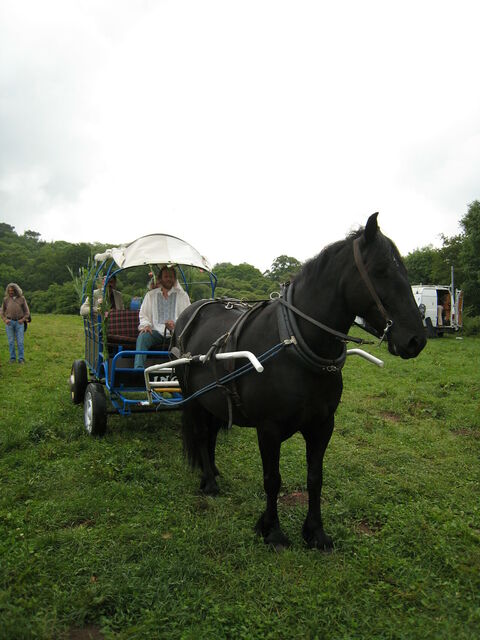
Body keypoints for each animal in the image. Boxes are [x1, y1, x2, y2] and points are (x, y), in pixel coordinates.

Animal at [173, 213, 426, 550]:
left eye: (405, 271)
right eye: (381, 270)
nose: (416, 339)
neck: (294, 343)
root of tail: (191, 311)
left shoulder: (322, 425)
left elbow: (315, 478)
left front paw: (315, 532)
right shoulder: (268, 429)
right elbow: (272, 479)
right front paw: (272, 530)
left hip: (211, 399)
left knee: (211, 434)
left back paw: (210, 472)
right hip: (191, 396)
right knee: (202, 435)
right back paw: (211, 484)